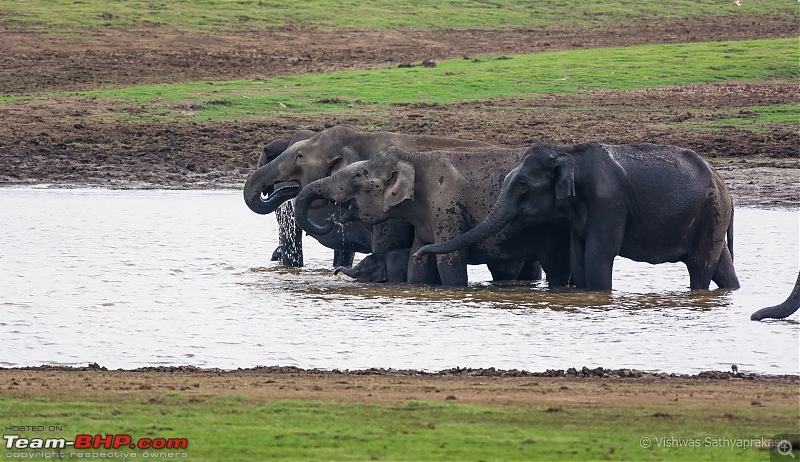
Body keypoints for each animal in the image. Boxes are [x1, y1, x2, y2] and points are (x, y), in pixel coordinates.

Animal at [296, 146, 576, 286]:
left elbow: (449, 263)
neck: (415, 159)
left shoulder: (446, 210)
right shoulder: (425, 220)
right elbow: (417, 265)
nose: (331, 220)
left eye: (356, 176)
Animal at [416, 143, 740, 290]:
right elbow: (577, 254)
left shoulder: (608, 203)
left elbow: (598, 254)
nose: (419, 252)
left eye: (522, 186)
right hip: (712, 218)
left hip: (711, 213)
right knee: (720, 263)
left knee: (700, 266)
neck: (568, 153)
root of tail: (725, 186)